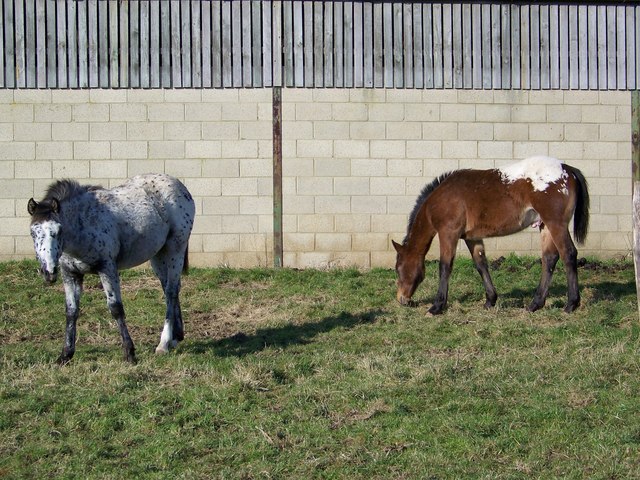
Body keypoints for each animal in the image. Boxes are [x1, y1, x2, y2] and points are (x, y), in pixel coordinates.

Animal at [27, 173, 195, 364]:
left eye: (58, 231)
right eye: (33, 232)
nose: (48, 272)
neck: (82, 225)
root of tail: (179, 186)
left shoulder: (107, 268)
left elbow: (116, 308)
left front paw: (130, 353)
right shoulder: (70, 273)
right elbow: (71, 311)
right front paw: (65, 355)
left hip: (176, 248)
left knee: (171, 290)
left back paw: (164, 343)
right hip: (158, 254)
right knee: (170, 289)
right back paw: (176, 337)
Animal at [392, 156, 589, 315]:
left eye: (398, 268)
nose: (401, 299)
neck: (442, 199)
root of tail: (567, 168)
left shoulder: (448, 233)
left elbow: (445, 267)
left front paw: (437, 306)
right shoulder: (471, 238)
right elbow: (481, 264)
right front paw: (490, 300)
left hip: (556, 223)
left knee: (568, 254)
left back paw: (571, 304)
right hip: (545, 226)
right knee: (549, 259)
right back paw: (535, 304)